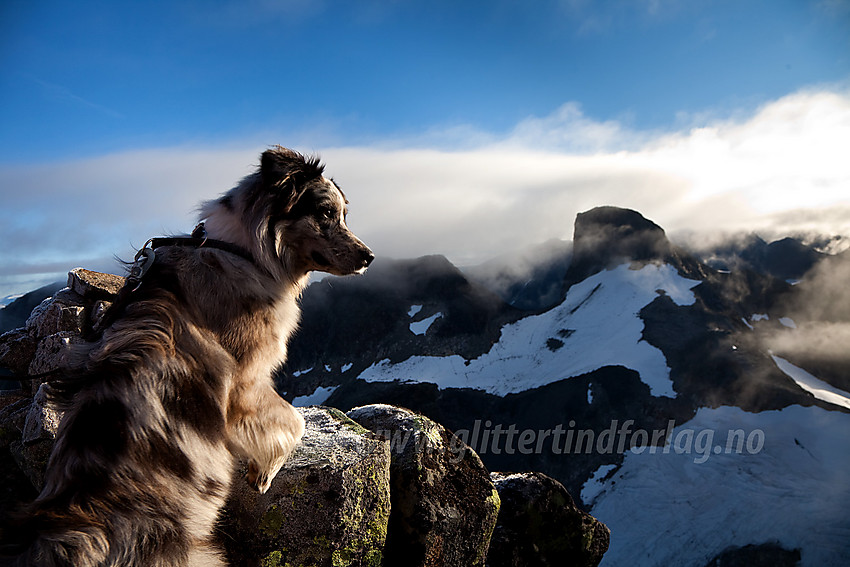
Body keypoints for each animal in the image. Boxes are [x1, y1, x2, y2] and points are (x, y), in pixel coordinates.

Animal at [0, 148, 372, 567]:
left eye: (343, 214)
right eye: (325, 212)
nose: (370, 257)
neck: (245, 252)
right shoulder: (248, 379)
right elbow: (294, 420)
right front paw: (264, 471)